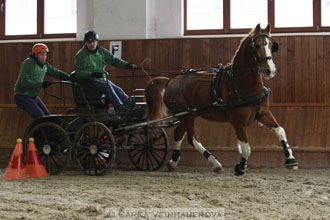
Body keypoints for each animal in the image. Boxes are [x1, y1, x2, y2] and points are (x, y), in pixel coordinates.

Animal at [144, 24, 300, 175]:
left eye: (272, 45)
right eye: (256, 45)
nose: (270, 70)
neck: (242, 84)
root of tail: (170, 80)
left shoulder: (263, 113)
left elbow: (280, 131)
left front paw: (291, 160)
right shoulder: (238, 122)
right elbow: (246, 148)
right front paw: (240, 167)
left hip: (188, 116)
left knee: (178, 134)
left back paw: (174, 162)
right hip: (186, 115)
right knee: (192, 138)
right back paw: (215, 163)